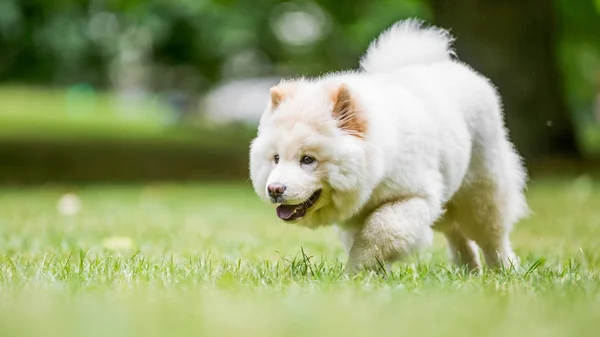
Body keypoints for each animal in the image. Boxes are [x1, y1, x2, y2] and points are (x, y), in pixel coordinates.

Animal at [248, 18, 528, 272]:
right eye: (276, 158)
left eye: (307, 159)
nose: (274, 189)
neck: (377, 164)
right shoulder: (359, 218)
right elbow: (369, 240)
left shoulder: (414, 198)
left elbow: (378, 233)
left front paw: (355, 273)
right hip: (447, 200)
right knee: (455, 232)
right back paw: (469, 270)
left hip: (480, 195)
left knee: (492, 238)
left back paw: (502, 271)